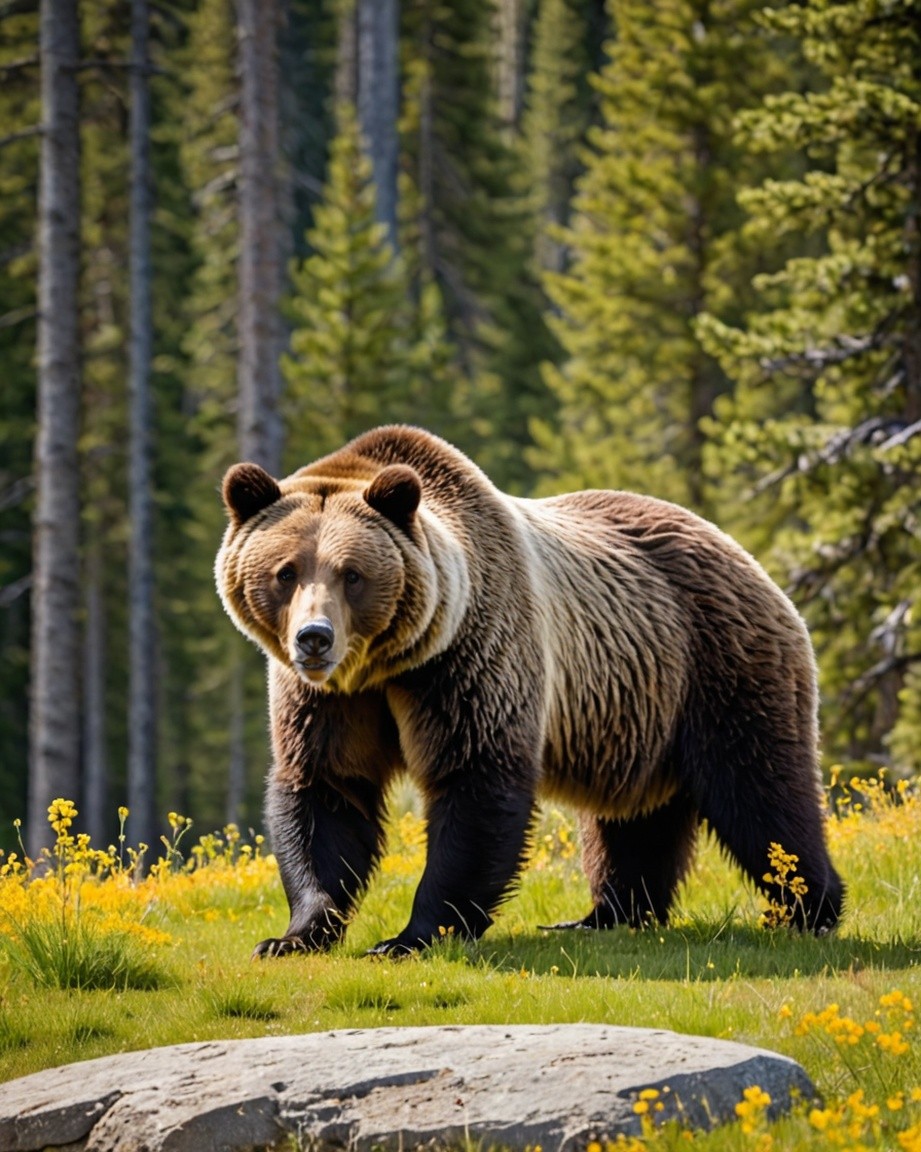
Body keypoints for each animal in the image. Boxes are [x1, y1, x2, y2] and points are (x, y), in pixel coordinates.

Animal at [216, 425, 844, 957]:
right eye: (286, 571)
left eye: (352, 574)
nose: (314, 638)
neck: (385, 665)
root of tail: (742, 552)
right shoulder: (332, 701)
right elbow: (327, 789)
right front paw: (293, 934)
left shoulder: (468, 656)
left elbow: (475, 780)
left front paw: (410, 937)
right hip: (640, 704)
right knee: (635, 817)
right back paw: (606, 915)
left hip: (718, 665)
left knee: (761, 792)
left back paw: (807, 909)